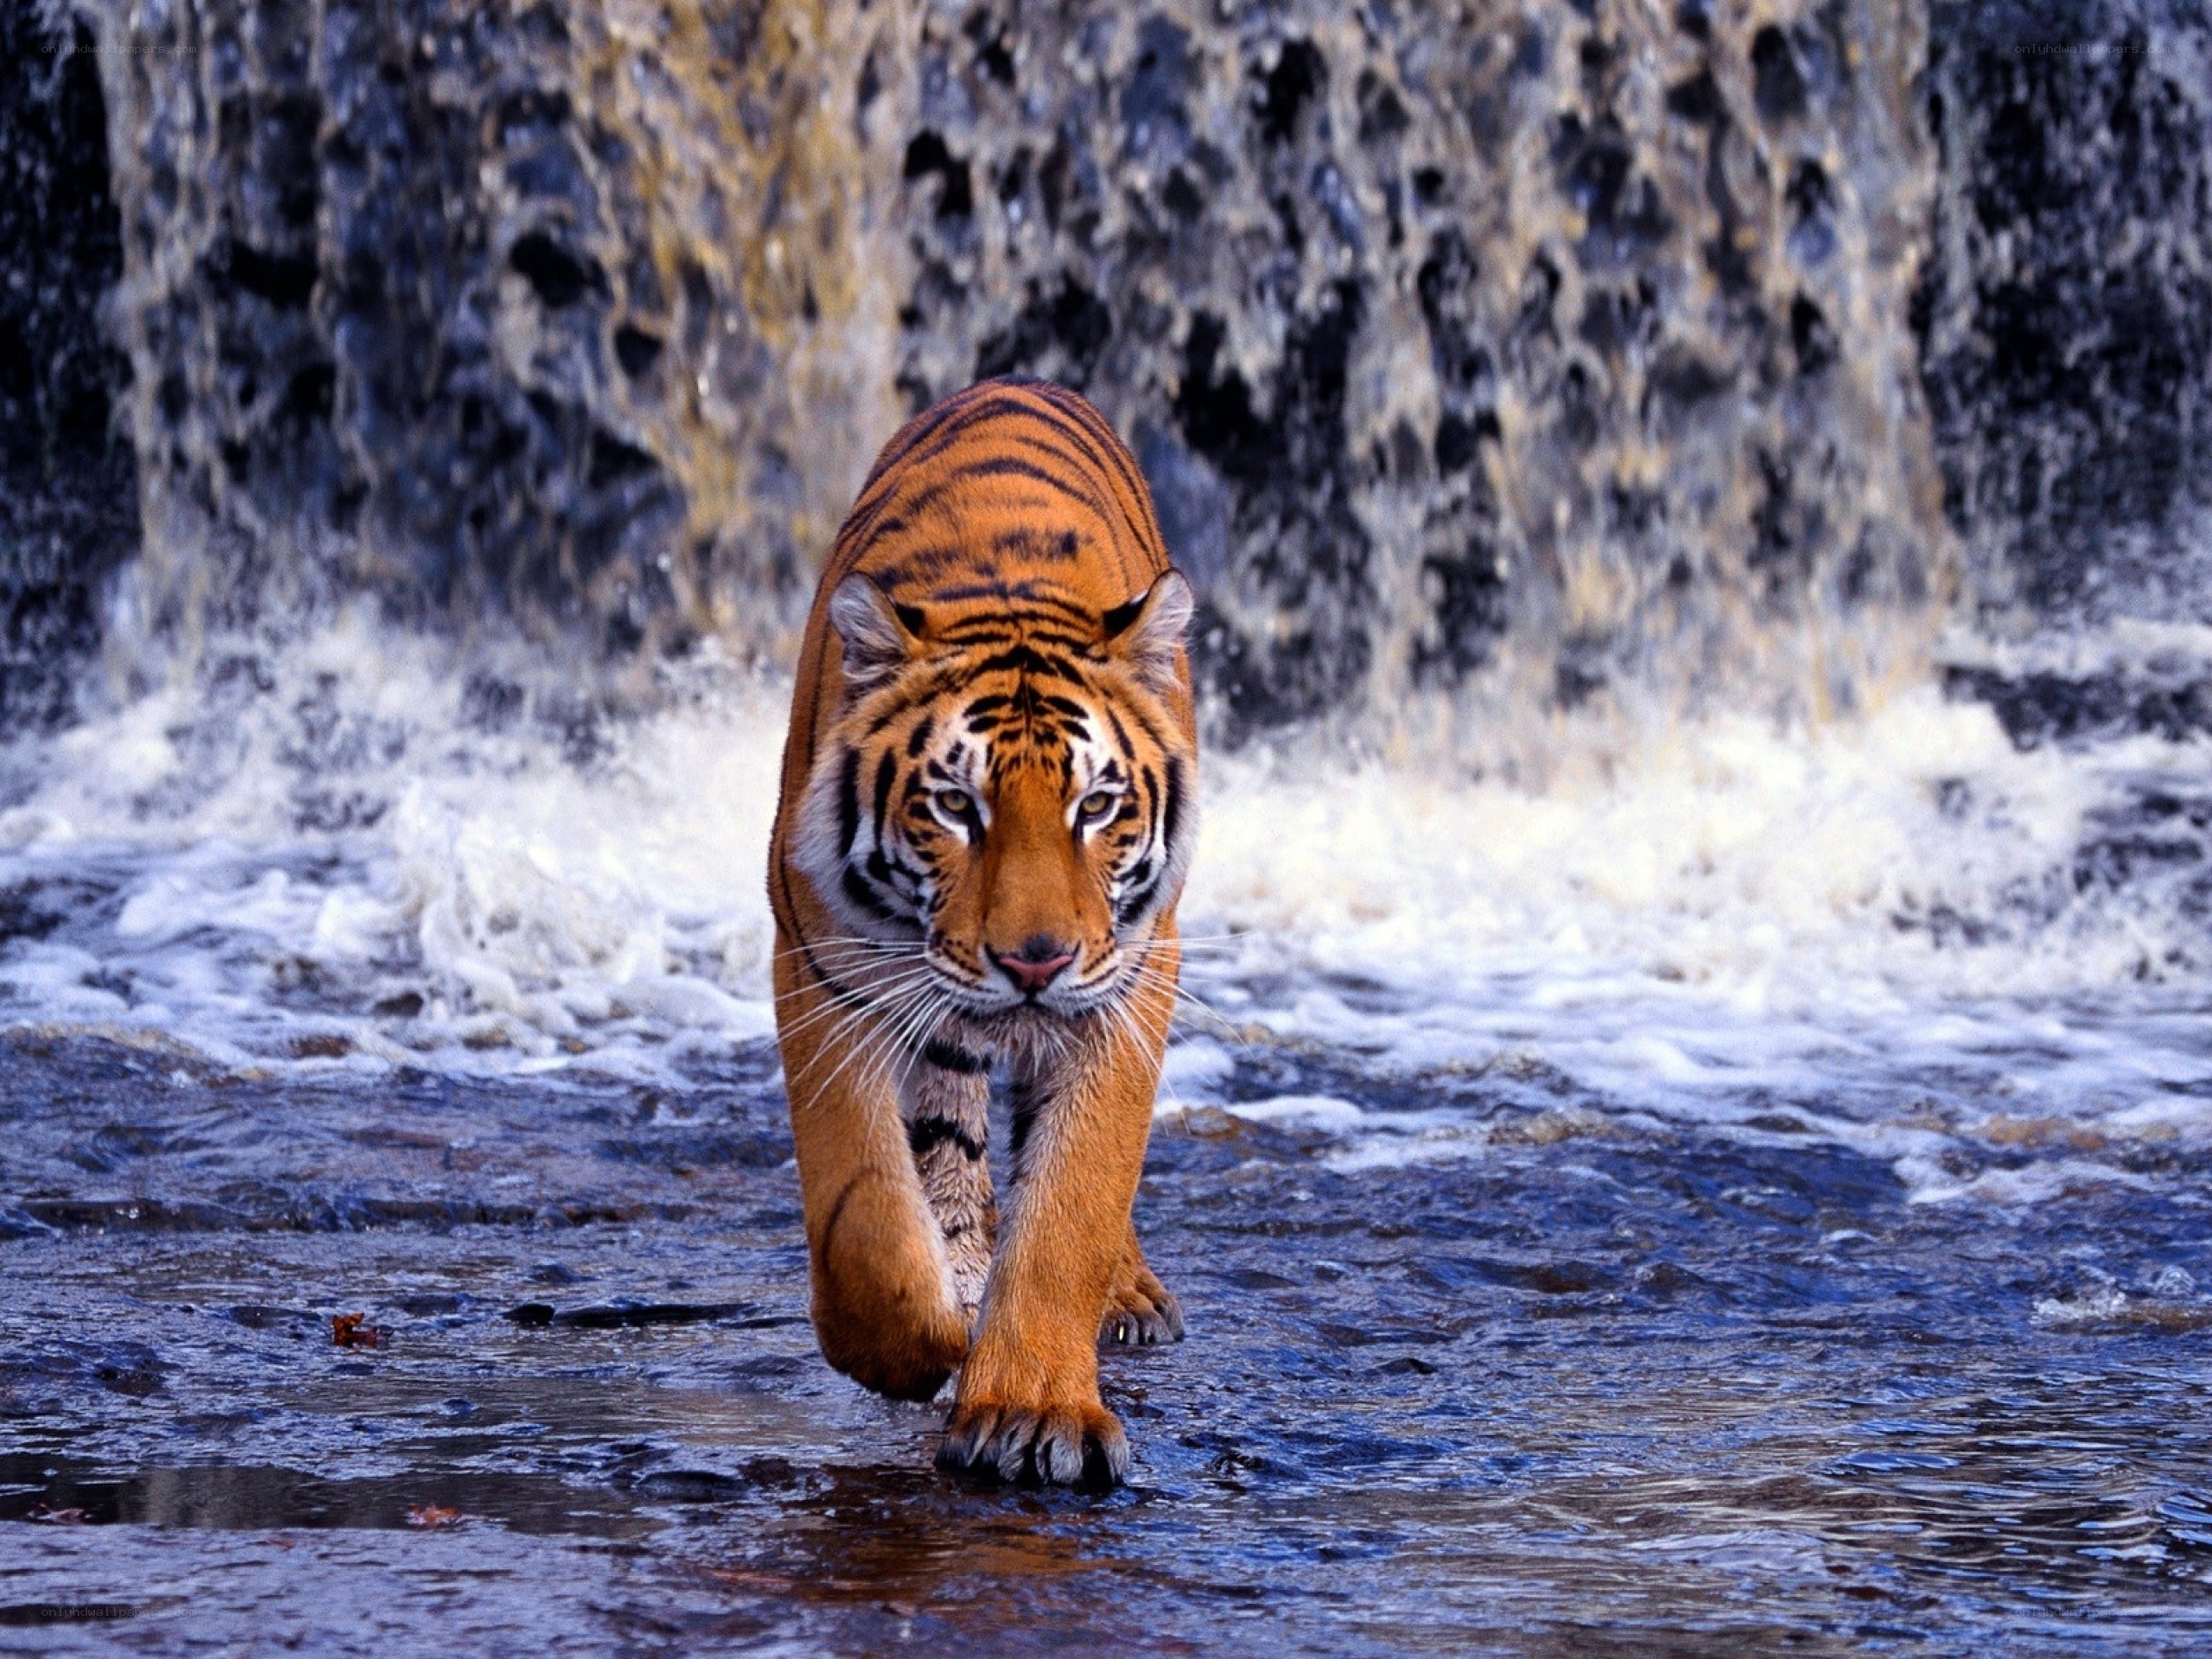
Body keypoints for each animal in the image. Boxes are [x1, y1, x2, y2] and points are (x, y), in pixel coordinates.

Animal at [766, 376, 1199, 1488]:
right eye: (956, 806)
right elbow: (864, 1210)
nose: (1033, 962)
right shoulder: (825, 965)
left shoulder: (1129, 980)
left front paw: (1033, 1410)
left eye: (1097, 806)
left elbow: (1074, 1200)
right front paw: (917, 1346)